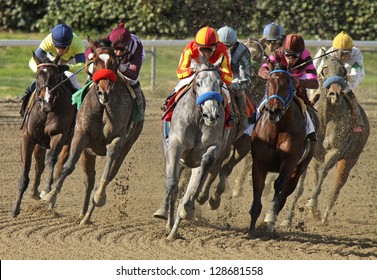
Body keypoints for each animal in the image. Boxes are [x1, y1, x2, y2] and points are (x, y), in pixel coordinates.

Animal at [10, 53, 76, 218]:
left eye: (56, 76)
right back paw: (35, 193)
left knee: (59, 168)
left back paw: (51, 200)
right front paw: (15, 209)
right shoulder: (28, 138)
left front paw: (46, 189)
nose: (46, 101)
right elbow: (25, 172)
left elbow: (51, 159)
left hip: (68, 142)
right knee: (39, 164)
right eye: (37, 75)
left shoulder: (59, 135)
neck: (46, 112)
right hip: (40, 142)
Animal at [41, 36, 145, 225]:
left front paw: (99, 197)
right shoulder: (81, 136)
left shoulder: (118, 139)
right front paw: (50, 195)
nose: (104, 92)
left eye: (114, 63)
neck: (103, 108)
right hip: (88, 152)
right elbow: (68, 167)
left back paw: (88, 214)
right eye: (94, 61)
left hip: (127, 146)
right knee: (89, 179)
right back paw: (82, 215)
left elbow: (108, 168)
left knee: (108, 175)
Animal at [153, 56, 226, 241]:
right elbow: (171, 183)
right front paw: (163, 212)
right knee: (174, 186)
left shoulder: (213, 147)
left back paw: (174, 230)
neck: (198, 118)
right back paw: (169, 224)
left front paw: (188, 208)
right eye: (198, 83)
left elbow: (204, 166)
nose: (211, 115)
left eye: (220, 82)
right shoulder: (175, 145)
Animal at [248, 68, 316, 238]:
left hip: (299, 169)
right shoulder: (259, 163)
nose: (274, 111)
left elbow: (279, 185)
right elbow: (258, 187)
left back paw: (271, 223)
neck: (278, 127)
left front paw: (270, 216)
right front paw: (251, 230)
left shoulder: (290, 161)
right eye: (268, 83)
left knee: (285, 193)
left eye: (287, 85)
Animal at [280, 55, 368, 226]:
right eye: (324, 69)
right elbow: (299, 185)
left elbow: (324, 171)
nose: (335, 93)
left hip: (349, 160)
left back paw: (324, 216)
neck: (327, 119)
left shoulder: (337, 150)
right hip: (318, 158)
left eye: (343, 70)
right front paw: (287, 218)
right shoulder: (310, 152)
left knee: (336, 188)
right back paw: (315, 213)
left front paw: (312, 202)